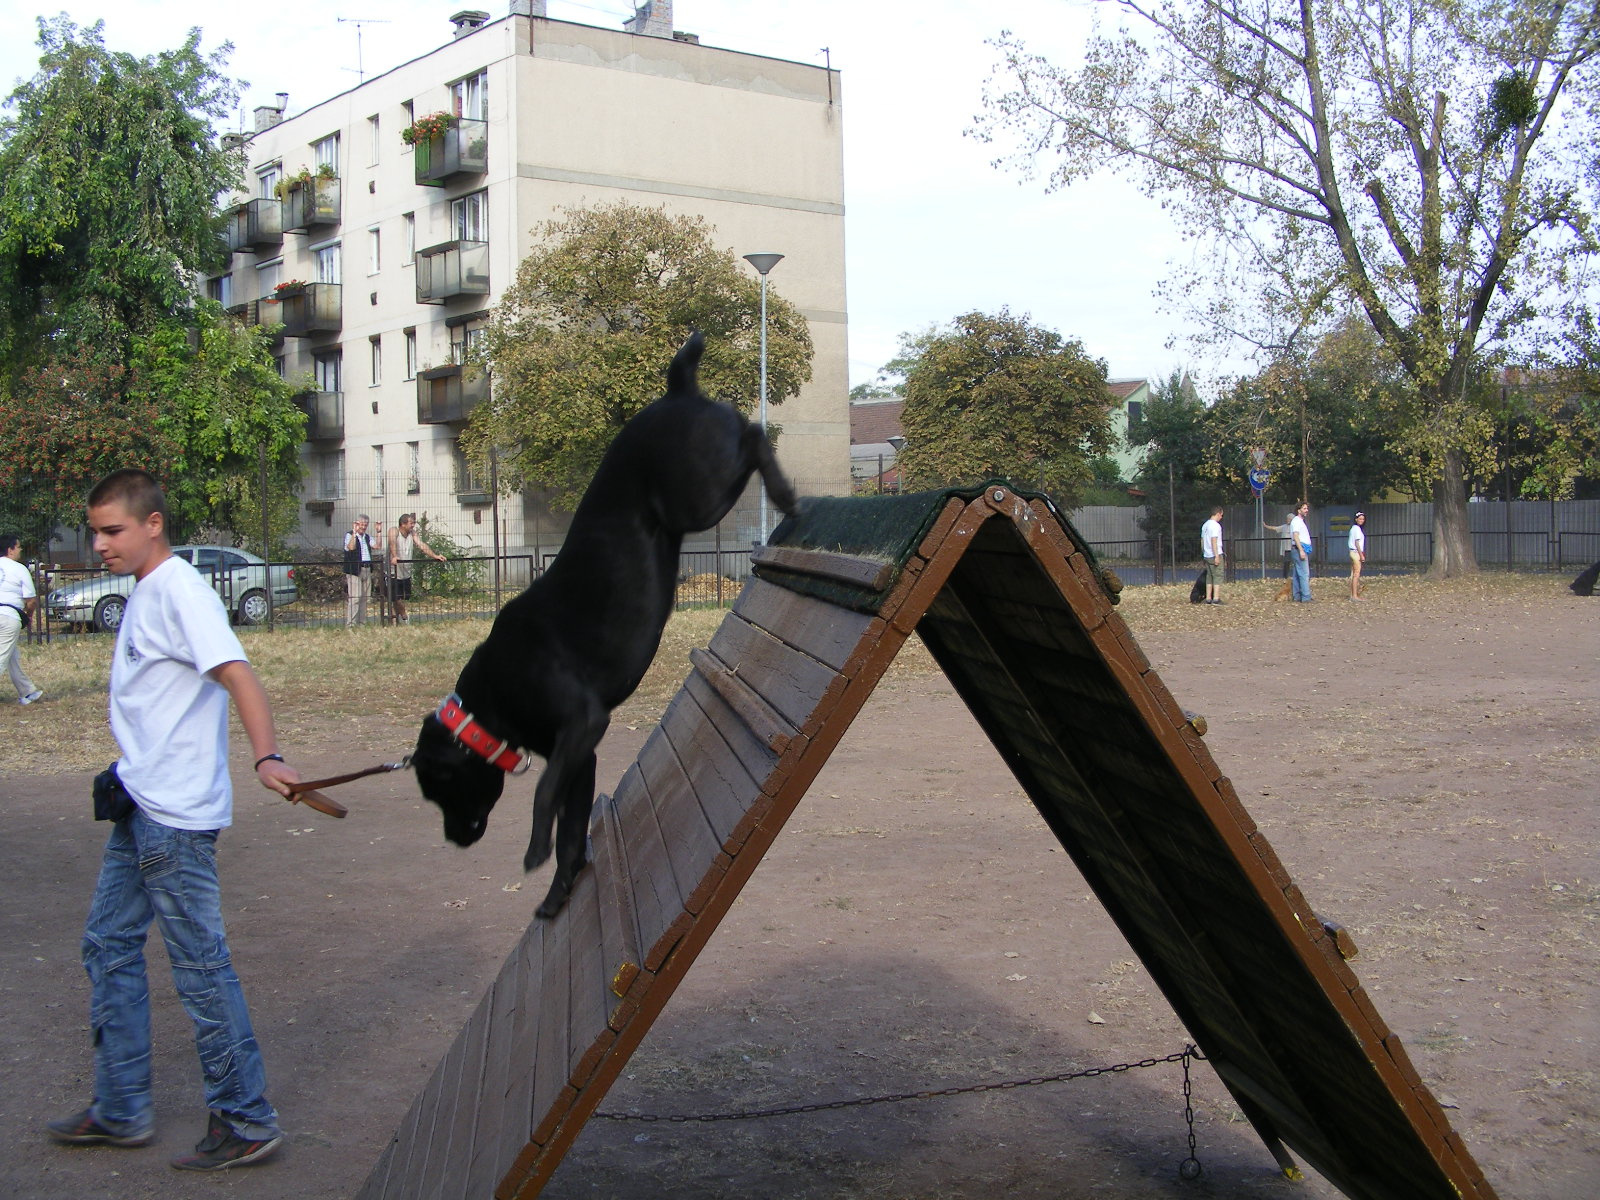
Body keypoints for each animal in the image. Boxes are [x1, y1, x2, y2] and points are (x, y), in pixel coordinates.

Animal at [412, 334, 800, 915]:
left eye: (439, 788)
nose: (454, 839)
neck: (487, 707)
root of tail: (676, 389)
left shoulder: (582, 724)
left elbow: (543, 793)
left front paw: (534, 850)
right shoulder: (580, 756)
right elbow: (571, 826)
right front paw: (558, 892)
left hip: (694, 497)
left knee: (754, 435)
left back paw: (783, 493)